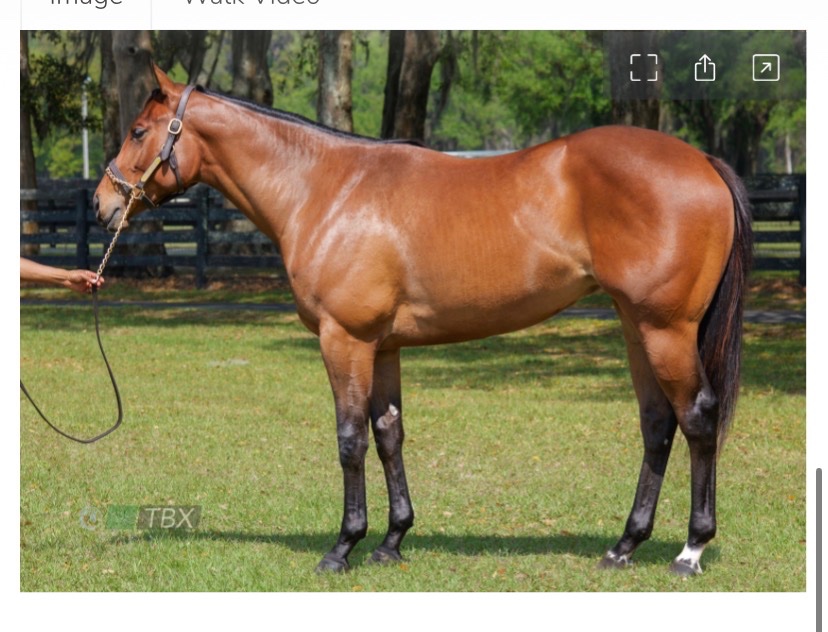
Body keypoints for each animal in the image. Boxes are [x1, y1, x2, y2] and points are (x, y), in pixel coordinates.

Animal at [93, 65, 752, 576]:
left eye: (138, 130)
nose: (103, 203)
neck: (326, 189)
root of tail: (702, 161)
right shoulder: (382, 346)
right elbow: (389, 433)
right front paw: (391, 541)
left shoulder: (344, 340)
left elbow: (351, 440)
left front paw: (343, 548)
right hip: (636, 327)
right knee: (657, 424)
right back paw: (624, 546)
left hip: (665, 329)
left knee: (697, 417)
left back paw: (690, 550)